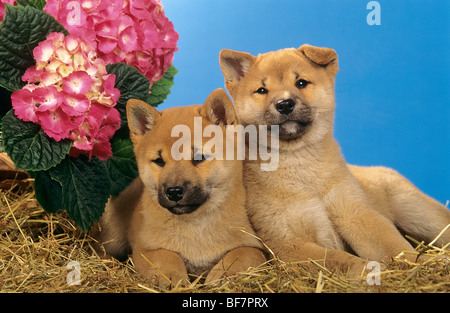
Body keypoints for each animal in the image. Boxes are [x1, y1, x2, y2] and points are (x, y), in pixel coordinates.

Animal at [97, 88, 266, 286]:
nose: (174, 191)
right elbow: (167, 257)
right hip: (113, 233)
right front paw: (172, 276)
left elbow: (242, 254)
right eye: (159, 161)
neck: (195, 225)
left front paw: (223, 275)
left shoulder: (256, 247)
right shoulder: (145, 249)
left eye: (199, 157)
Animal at [219, 44, 450, 272]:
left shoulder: (357, 215)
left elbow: (396, 247)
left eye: (301, 83)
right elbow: (337, 259)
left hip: (418, 212)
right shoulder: (287, 242)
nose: (284, 104)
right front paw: (364, 269)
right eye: (262, 90)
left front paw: (422, 264)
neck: (301, 165)